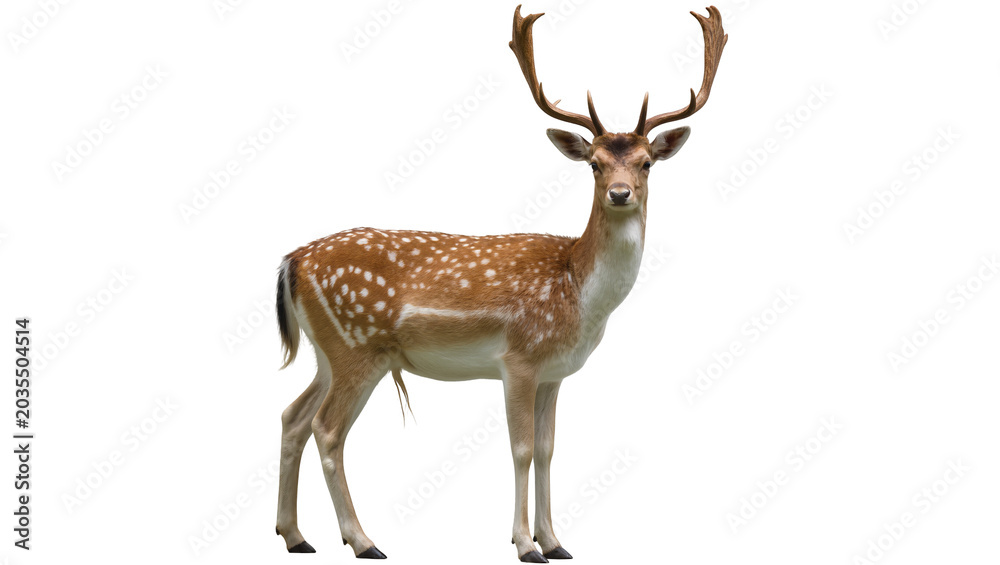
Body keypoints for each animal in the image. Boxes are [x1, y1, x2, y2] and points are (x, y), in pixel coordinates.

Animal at [272, 5, 726, 562]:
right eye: (594, 164)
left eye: (646, 163)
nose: (620, 193)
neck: (578, 291)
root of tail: (292, 261)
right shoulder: (519, 359)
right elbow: (522, 449)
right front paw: (525, 544)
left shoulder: (555, 372)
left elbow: (549, 449)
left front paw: (556, 542)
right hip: (357, 347)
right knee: (327, 429)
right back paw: (362, 540)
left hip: (327, 352)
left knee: (292, 416)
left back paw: (295, 535)